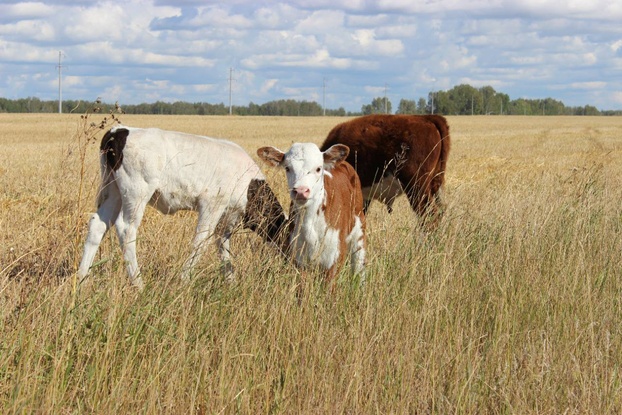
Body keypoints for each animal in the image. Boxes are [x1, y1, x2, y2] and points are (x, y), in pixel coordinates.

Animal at [77, 125, 288, 290]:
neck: (248, 182)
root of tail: (119, 131)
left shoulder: (230, 214)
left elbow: (222, 244)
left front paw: (231, 281)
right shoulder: (212, 204)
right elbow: (201, 240)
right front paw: (184, 278)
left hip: (113, 191)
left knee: (97, 225)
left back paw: (82, 279)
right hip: (136, 192)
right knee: (126, 229)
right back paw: (138, 284)